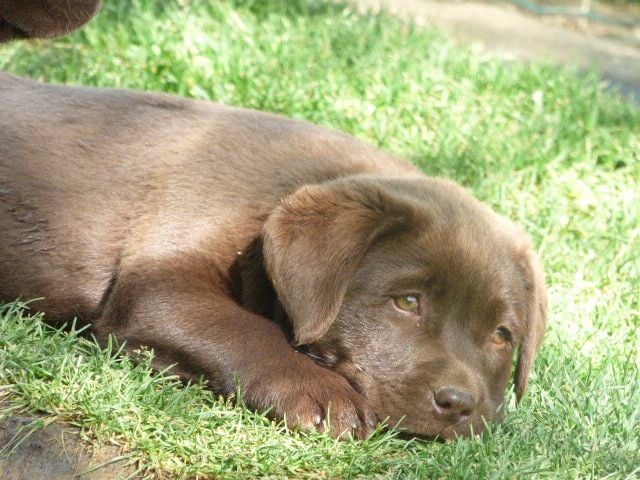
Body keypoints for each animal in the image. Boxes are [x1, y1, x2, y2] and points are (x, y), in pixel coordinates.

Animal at [0, 72, 547, 439]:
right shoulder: (160, 281)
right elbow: (244, 329)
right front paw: (322, 395)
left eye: (502, 335)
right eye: (407, 302)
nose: (458, 404)